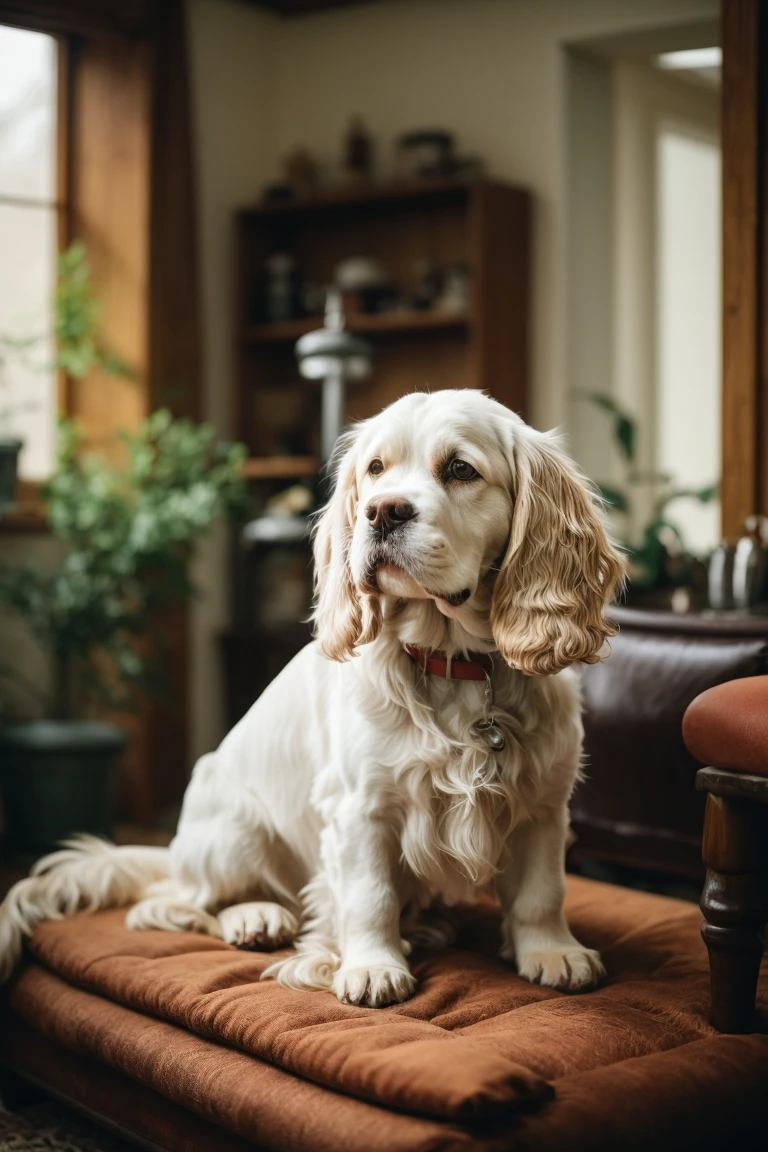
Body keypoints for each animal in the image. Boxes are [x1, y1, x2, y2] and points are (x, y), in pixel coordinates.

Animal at [0, 391, 626, 1004]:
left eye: (460, 469)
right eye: (375, 470)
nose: (382, 511)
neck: (454, 663)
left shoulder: (544, 804)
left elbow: (542, 891)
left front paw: (552, 952)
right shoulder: (361, 808)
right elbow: (369, 895)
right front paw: (371, 966)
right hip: (236, 830)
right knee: (182, 902)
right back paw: (255, 916)